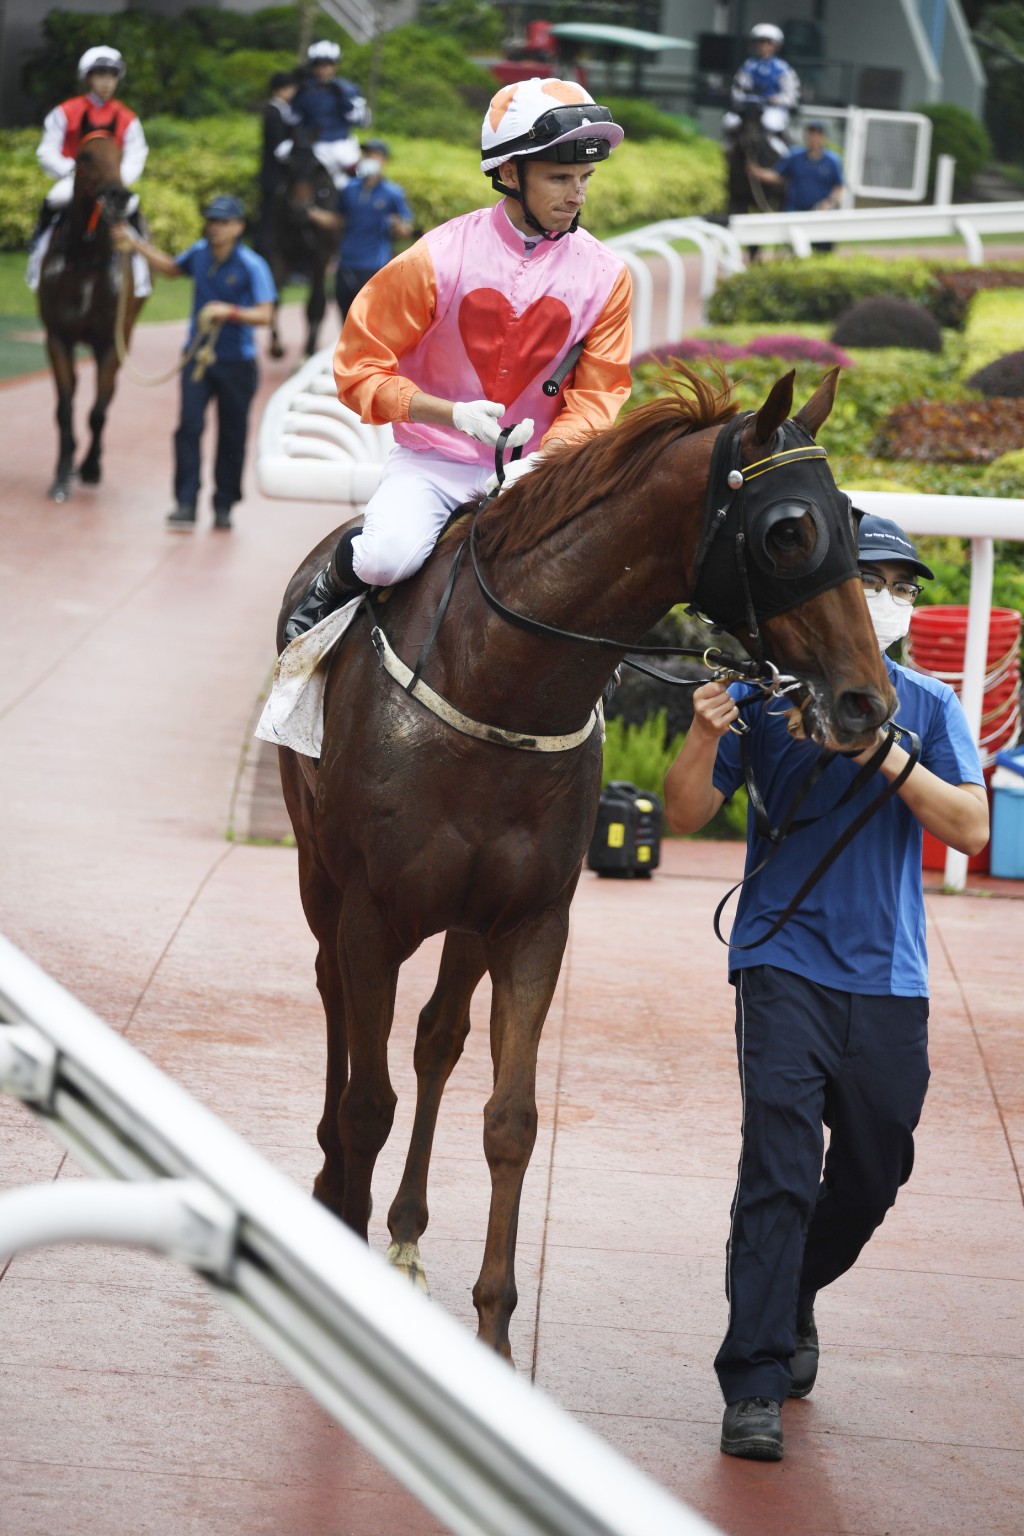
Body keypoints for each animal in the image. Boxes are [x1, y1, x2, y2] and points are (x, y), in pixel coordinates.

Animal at [38, 131, 144, 500]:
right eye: (85, 156)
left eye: (121, 154)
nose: (117, 196)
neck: (85, 262)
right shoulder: (57, 337)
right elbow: (64, 406)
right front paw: (61, 474)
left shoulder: (110, 342)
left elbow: (98, 411)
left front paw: (91, 467)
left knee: (106, 398)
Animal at [271, 365, 896, 1363]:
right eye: (788, 530)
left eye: (851, 511)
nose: (864, 703)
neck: (500, 681)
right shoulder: (374, 910)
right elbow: (370, 1100)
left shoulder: (531, 920)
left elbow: (512, 1120)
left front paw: (493, 1332)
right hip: (320, 875)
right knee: (335, 998)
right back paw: (336, 1187)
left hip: (465, 919)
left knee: (438, 1037)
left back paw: (404, 1230)